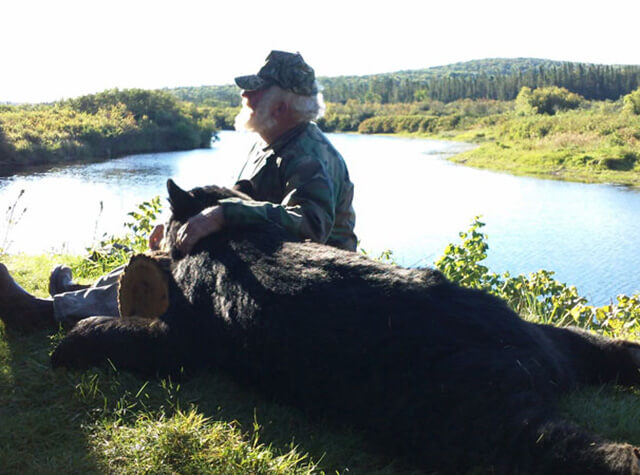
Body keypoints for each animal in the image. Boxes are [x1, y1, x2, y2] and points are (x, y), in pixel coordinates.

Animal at [52, 179, 640, 475]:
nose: (156, 235)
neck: (227, 235)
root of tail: (522, 351)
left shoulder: (186, 338)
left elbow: (133, 335)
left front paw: (70, 346)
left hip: (471, 408)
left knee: (560, 449)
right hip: (550, 338)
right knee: (610, 350)